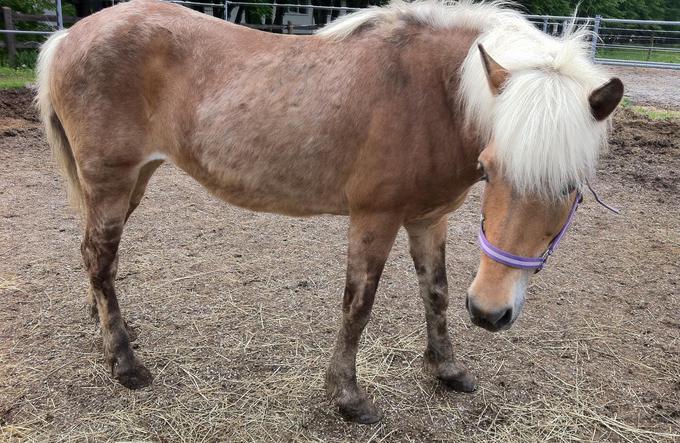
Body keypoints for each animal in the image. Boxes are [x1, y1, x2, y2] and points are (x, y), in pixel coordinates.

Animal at [35, 0, 620, 424]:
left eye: (571, 187)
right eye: (491, 168)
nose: (490, 313)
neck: (433, 94)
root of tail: (70, 36)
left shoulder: (428, 218)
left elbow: (436, 293)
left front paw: (448, 370)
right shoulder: (375, 219)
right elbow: (358, 306)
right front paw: (348, 397)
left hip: (133, 180)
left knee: (99, 260)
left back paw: (113, 332)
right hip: (111, 182)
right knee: (99, 258)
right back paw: (125, 363)